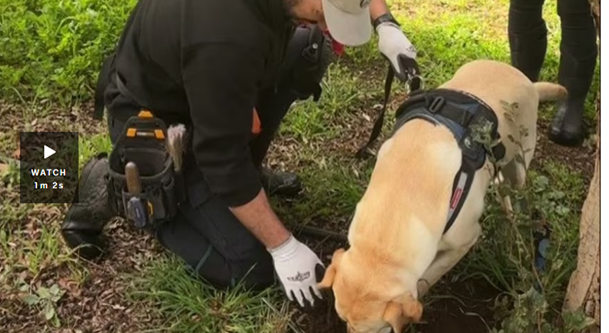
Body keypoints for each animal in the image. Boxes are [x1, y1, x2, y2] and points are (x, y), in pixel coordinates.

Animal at [318, 59, 564, 332]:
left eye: (375, 330)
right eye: (344, 322)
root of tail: (524, 78)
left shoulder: (466, 239)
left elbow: (426, 279)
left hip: (519, 163)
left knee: (516, 191)